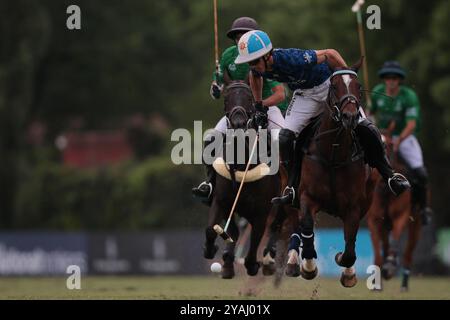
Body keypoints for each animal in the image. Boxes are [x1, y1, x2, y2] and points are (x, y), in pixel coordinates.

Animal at [202, 81, 284, 278]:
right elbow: (213, 229)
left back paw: (269, 259)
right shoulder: (221, 201)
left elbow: (255, 241)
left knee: (277, 226)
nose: (238, 122)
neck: (241, 164)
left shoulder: (262, 211)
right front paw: (211, 250)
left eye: (249, 99)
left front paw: (253, 265)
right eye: (226, 98)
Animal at [284, 62, 376, 288]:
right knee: (294, 221)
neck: (333, 152)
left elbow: (350, 246)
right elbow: (307, 227)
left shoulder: (354, 206)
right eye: (334, 86)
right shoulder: (307, 197)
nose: (350, 117)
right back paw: (293, 262)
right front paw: (308, 267)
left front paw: (345, 266)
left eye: (358, 86)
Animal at [370, 127, 422, 290]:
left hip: (416, 225)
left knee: (408, 253)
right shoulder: (374, 220)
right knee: (386, 244)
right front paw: (377, 282)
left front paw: (390, 266)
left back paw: (404, 284)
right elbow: (378, 249)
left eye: (390, 145)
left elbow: (395, 240)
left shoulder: (401, 216)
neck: (385, 189)